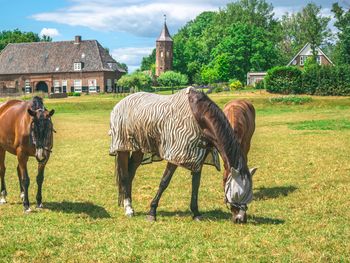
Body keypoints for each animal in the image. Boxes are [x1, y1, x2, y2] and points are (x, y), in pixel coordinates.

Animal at [108, 87, 256, 224]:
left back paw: (130, 205)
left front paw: (196, 213)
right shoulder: (175, 156)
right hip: (123, 148)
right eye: (237, 193)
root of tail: (120, 103)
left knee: (130, 174)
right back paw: (128, 209)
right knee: (124, 176)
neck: (199, 116)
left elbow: (195, 185)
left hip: (139, 149)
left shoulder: (199, 158)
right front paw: (152, 212)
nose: (240, 219)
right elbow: (164, 182)